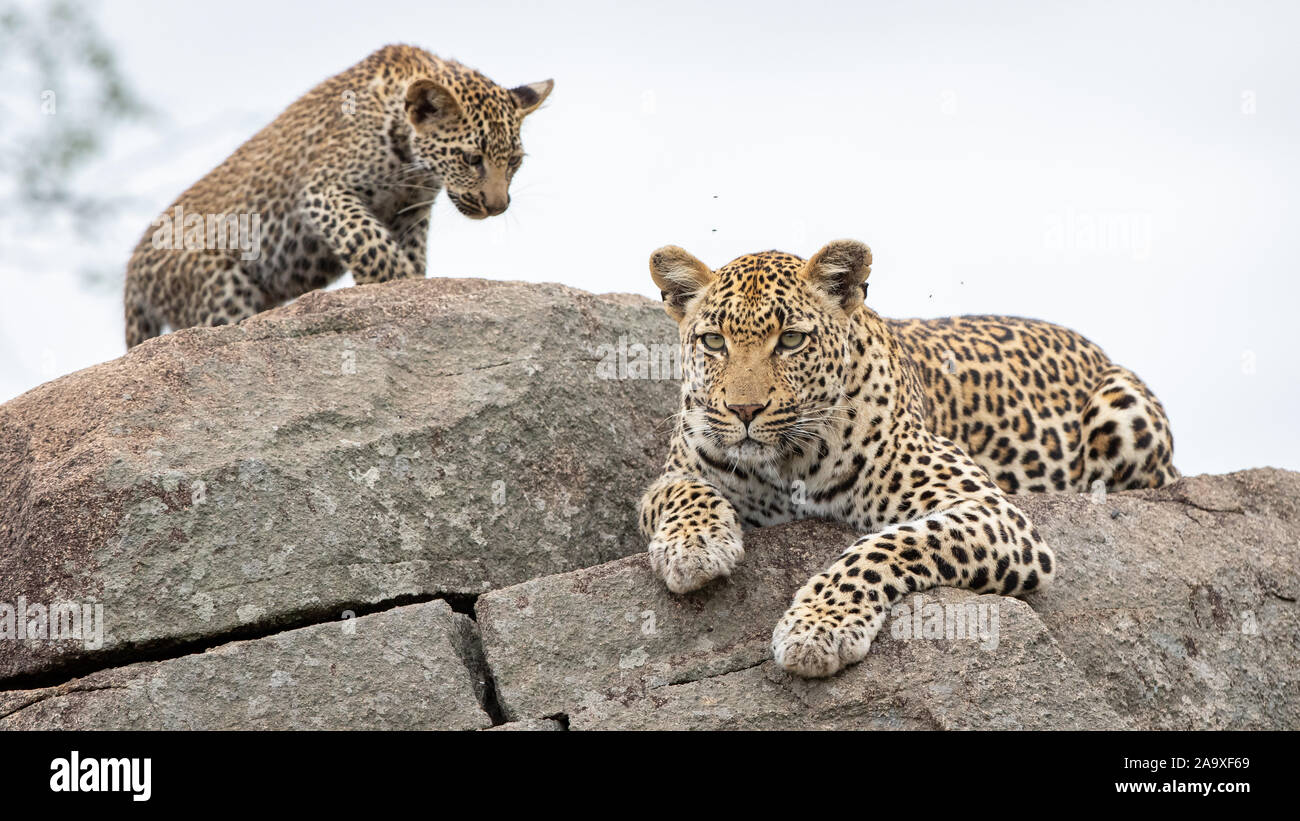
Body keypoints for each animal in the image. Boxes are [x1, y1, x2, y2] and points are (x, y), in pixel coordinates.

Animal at [119, 45, 551, 345]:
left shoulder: (411, 213)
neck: (412, 165)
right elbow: (371, 242)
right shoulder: (323, 191)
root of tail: (132, 268)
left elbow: (407, 254)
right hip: (221, 288)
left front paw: (412, 289)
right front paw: (393, 287)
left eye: (514, 162)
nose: (497, 206)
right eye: (471, 158)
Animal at [639, 240, 1180, 675]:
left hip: (1123, 408)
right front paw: (694, 548)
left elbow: (888, 545)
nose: (744, 410)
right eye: (714, 342)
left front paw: (817, 627)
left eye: (791, 339)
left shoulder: (991, 510)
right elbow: (682, 491)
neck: (787, 463)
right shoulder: (674, 472)